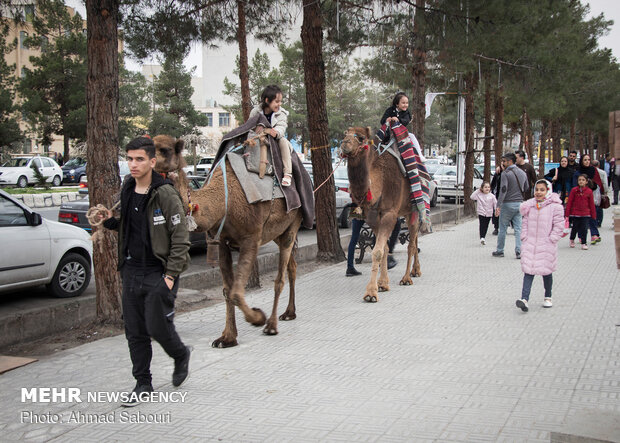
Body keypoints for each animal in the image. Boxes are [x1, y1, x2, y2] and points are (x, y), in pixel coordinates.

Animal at [153, 134, 302, 348]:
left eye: (164, 150)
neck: (222, 202)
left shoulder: (251, 238)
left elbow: (236, 293)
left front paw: (258, 318)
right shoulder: (221, 241)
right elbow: (226, 290)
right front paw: (227, 338)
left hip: (293, 223)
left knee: (279, 278)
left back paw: (272, 325)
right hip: (277, 233)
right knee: (292, 266)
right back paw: (289, 313)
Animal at [336, 126, 424, 304]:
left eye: (361, 138)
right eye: (345, 134)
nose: (344, 143)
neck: (380, 183)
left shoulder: (389, 213)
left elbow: (377, 251)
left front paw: (371, 293)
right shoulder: (373, 217)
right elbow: (383, 247)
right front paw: (382, 284)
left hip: (413, 208)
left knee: (411, 244)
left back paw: (406, 278)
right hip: (406, 212)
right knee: (415, 238)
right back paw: (415, 271)